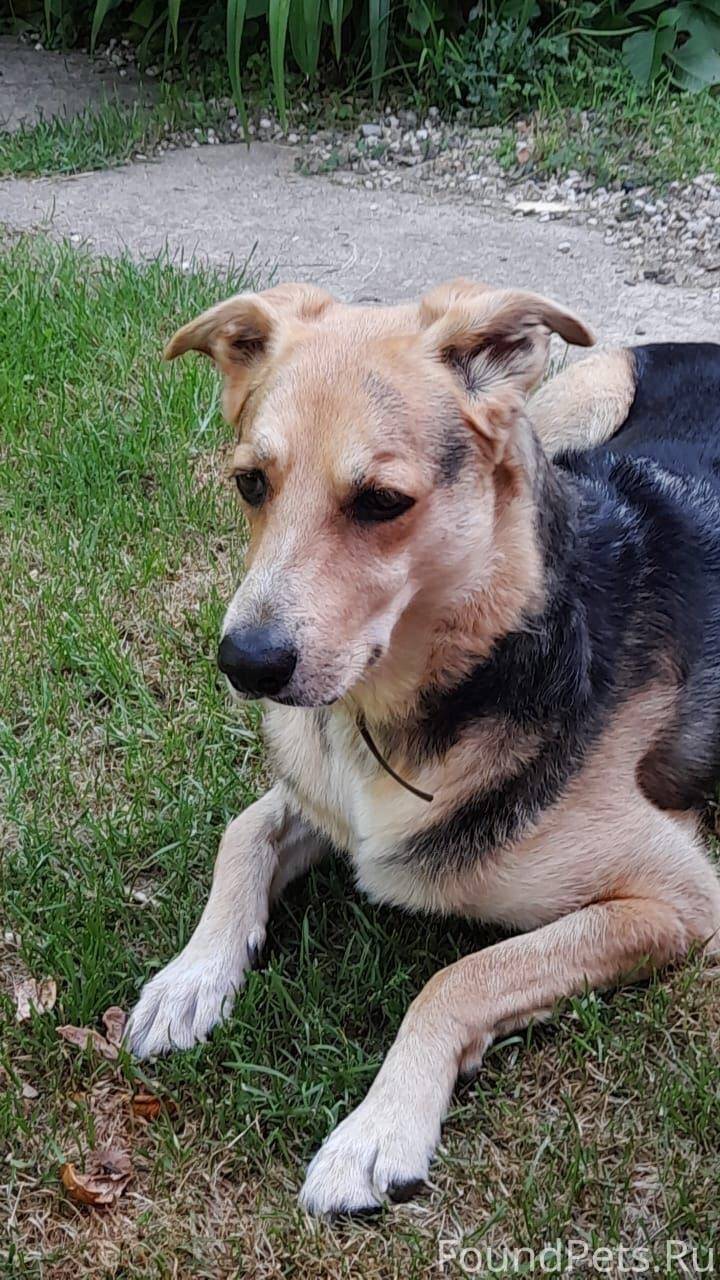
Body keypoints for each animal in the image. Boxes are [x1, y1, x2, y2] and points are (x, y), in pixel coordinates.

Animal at [127, 280, 720, 1216]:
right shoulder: (318, 790)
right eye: (251, 484)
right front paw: (193, 975)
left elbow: (461, 976)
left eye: (380, 502)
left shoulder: (678, 900)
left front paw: (378, 1128)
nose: (244, 663)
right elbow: (242, 834)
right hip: (571, 406)